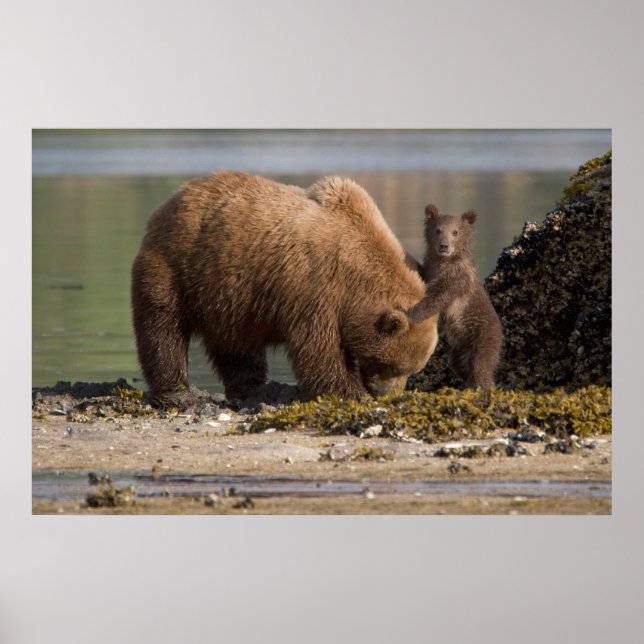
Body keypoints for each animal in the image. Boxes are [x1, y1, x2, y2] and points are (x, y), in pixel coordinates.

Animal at [131, 171, 440, 407]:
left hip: (228, 294)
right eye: (392, 366)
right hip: (177, 265)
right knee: (163, 327)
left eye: (411, 369)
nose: (386, 394)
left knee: (236, 345)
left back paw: (252, 389)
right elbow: (318, 349)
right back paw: (178, 394)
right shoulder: (315, 287)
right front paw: (352, 392)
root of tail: (175, 197)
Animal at [412, 204, 503, 389]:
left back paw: (482, 386)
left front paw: (412, 313)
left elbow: (439, 297)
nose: (444, 246)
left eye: (455, 232)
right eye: (438, 230)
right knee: (458, 364)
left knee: (481, 364)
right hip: (459, 348)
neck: (444, 262)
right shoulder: (430, 268)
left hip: (483, 335)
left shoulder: (457, 278)